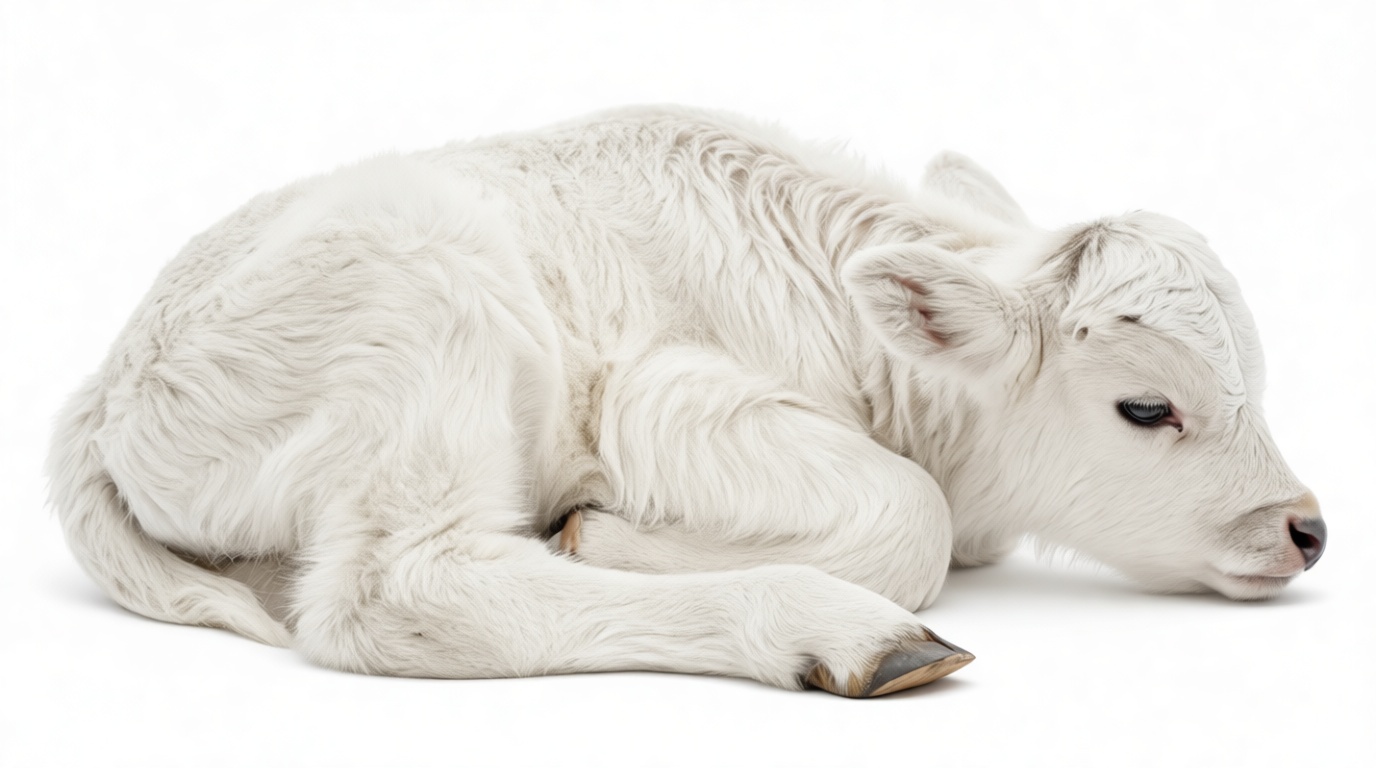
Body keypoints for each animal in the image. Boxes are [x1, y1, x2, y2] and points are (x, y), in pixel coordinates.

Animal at [46, 106, 1326, 697]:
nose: (1303, 528)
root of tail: (102, 395)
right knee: (397, 591)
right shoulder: (669, 398)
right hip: (430, 328)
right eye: (1146, 410)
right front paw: (603, 531)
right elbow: (905, 515)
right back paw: (846, 634)